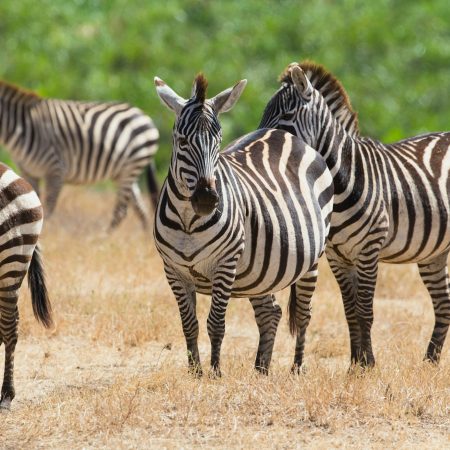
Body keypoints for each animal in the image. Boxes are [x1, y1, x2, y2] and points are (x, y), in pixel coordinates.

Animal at [0, 79, 161, 230]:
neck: (22, 127)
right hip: (123, 173)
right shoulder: (29, 172)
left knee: (121, 211)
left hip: (132, 168)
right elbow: (32, 204)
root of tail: (144, 115)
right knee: (140, 208)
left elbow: (48, 207)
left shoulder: (55, 169)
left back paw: (104, 237)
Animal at [155, 74, 334, 376]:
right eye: (181, 140)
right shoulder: (174, 271)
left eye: (218, 140)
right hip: (260, 272)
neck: (188, 221)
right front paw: (195, 373)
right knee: (270, 312)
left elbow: (216, 323)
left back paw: (297, 368)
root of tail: (285, 134)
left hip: (312, 259)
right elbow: (189, 325)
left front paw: (215, 373)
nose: (207, 199)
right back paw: (261, 369)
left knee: (303, 314)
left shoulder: (225, 264)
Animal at [258, 59, 450, 368]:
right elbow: (350, 311)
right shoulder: (337, 255)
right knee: (444, 304)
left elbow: (364, 311)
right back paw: (430, 361)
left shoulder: (368, 250)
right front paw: (354, 364)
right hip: (434, 251)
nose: (259, 140)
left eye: (286, 114)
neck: (340, 182)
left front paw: (368, 364)